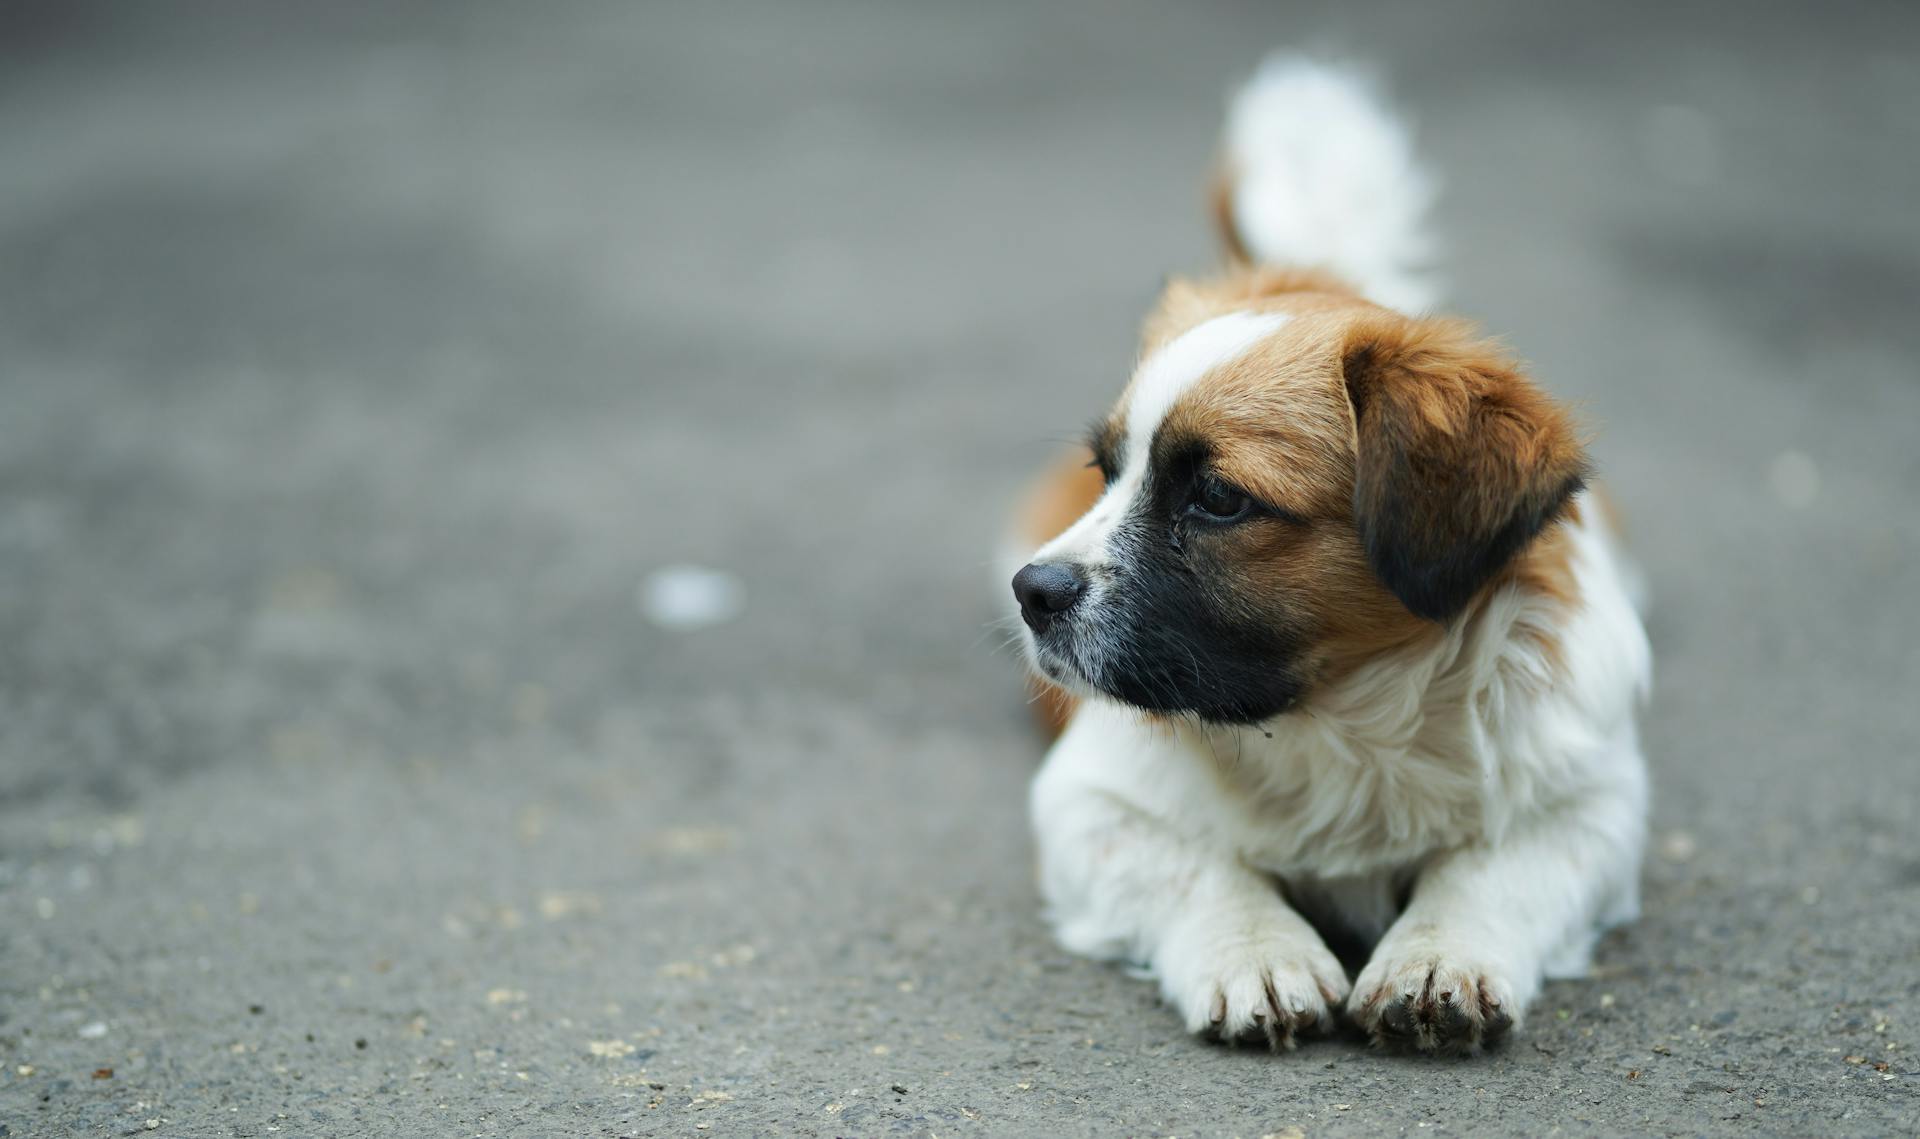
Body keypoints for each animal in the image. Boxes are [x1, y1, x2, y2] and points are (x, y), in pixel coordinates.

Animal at [1006, 53, 1651, 1044]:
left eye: (1218, 499)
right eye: (1105, 470)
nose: (1033, 591)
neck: (1337, 721)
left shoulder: (1595, 803)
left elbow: (1495, 867)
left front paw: (1439, 953)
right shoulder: (1087, 801)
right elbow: (1196, 866)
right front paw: (1255, 950)